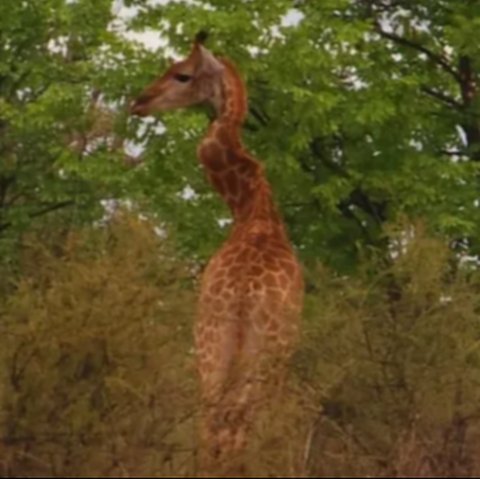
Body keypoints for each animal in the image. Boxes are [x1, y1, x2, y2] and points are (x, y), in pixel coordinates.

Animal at [130, 32, 304, 476]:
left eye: (182, 74)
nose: (139, 102)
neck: (252, 209)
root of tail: (243, 296)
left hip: (212, 347)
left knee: (212, 425)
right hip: (257, 355)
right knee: (232, 427)